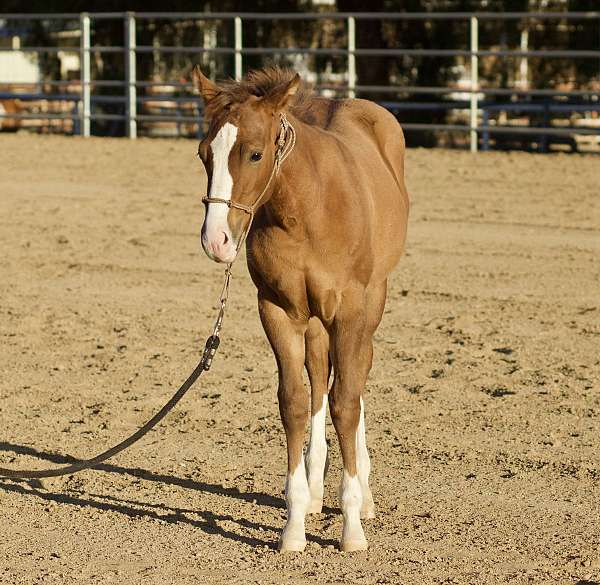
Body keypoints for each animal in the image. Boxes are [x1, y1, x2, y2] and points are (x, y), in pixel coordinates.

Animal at [192, 66, 408, 548]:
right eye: (203, 154)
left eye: (255, 154)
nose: (216, 241)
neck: (311, 207)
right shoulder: (279, 311)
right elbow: (294, 402)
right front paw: (294, 524)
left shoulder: (352, 312)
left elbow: (347, 402)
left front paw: (351, 527)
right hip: (314, 323)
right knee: (319, 380)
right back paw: (312, 491)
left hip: (371, 306)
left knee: (355, 379)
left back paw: (363, 495)